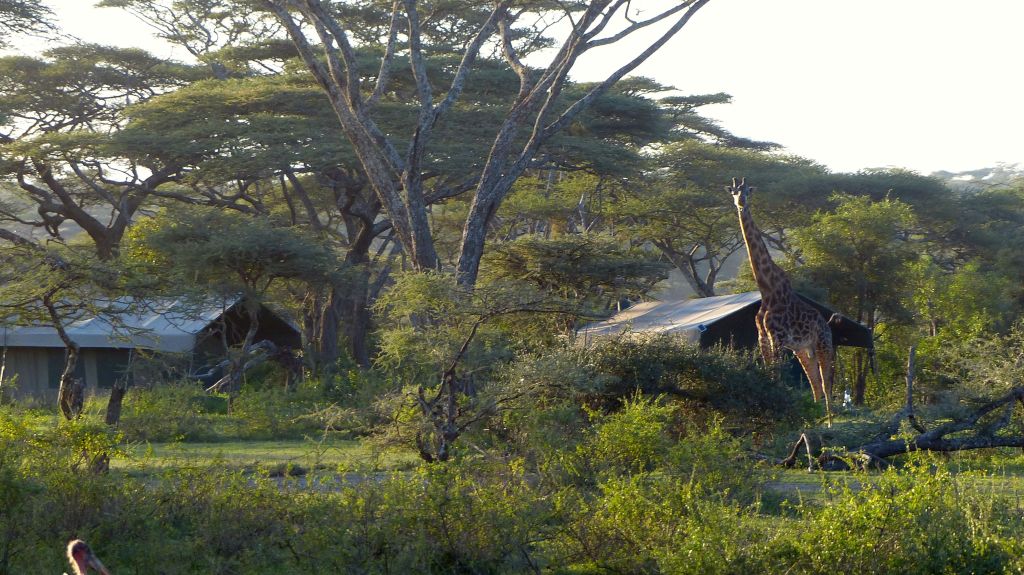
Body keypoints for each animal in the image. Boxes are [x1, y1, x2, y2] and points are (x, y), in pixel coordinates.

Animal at [728, 177, 836, 426]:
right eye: (734, 192)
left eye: (748, 191)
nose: (741, 202)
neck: (767, 289)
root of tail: (827, 324)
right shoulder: (763, 337)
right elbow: (770, 373)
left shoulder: (777, 337)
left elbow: (777, 374)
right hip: (803, 349)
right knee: (815, 383)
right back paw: (815, 418)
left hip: (823, 343)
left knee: (826, 382)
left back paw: (829, 421)